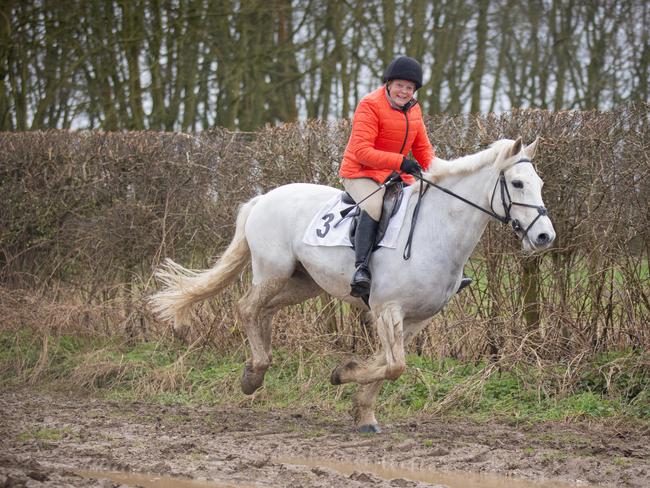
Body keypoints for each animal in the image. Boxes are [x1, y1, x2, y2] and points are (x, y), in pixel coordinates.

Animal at [149, 137, 556, 434]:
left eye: (539, 184)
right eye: (517, 183)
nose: (544, 236)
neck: (436, 231)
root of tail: (263, 197)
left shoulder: (415, 319)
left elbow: (388, 363)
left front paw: (363, 412)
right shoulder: (387, 310)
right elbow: (394, 366)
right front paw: (342, 374)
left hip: (303, 283)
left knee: (263, 310)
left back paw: (255, 369)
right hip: (273, 270)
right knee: (248, 307)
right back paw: (255, 373)